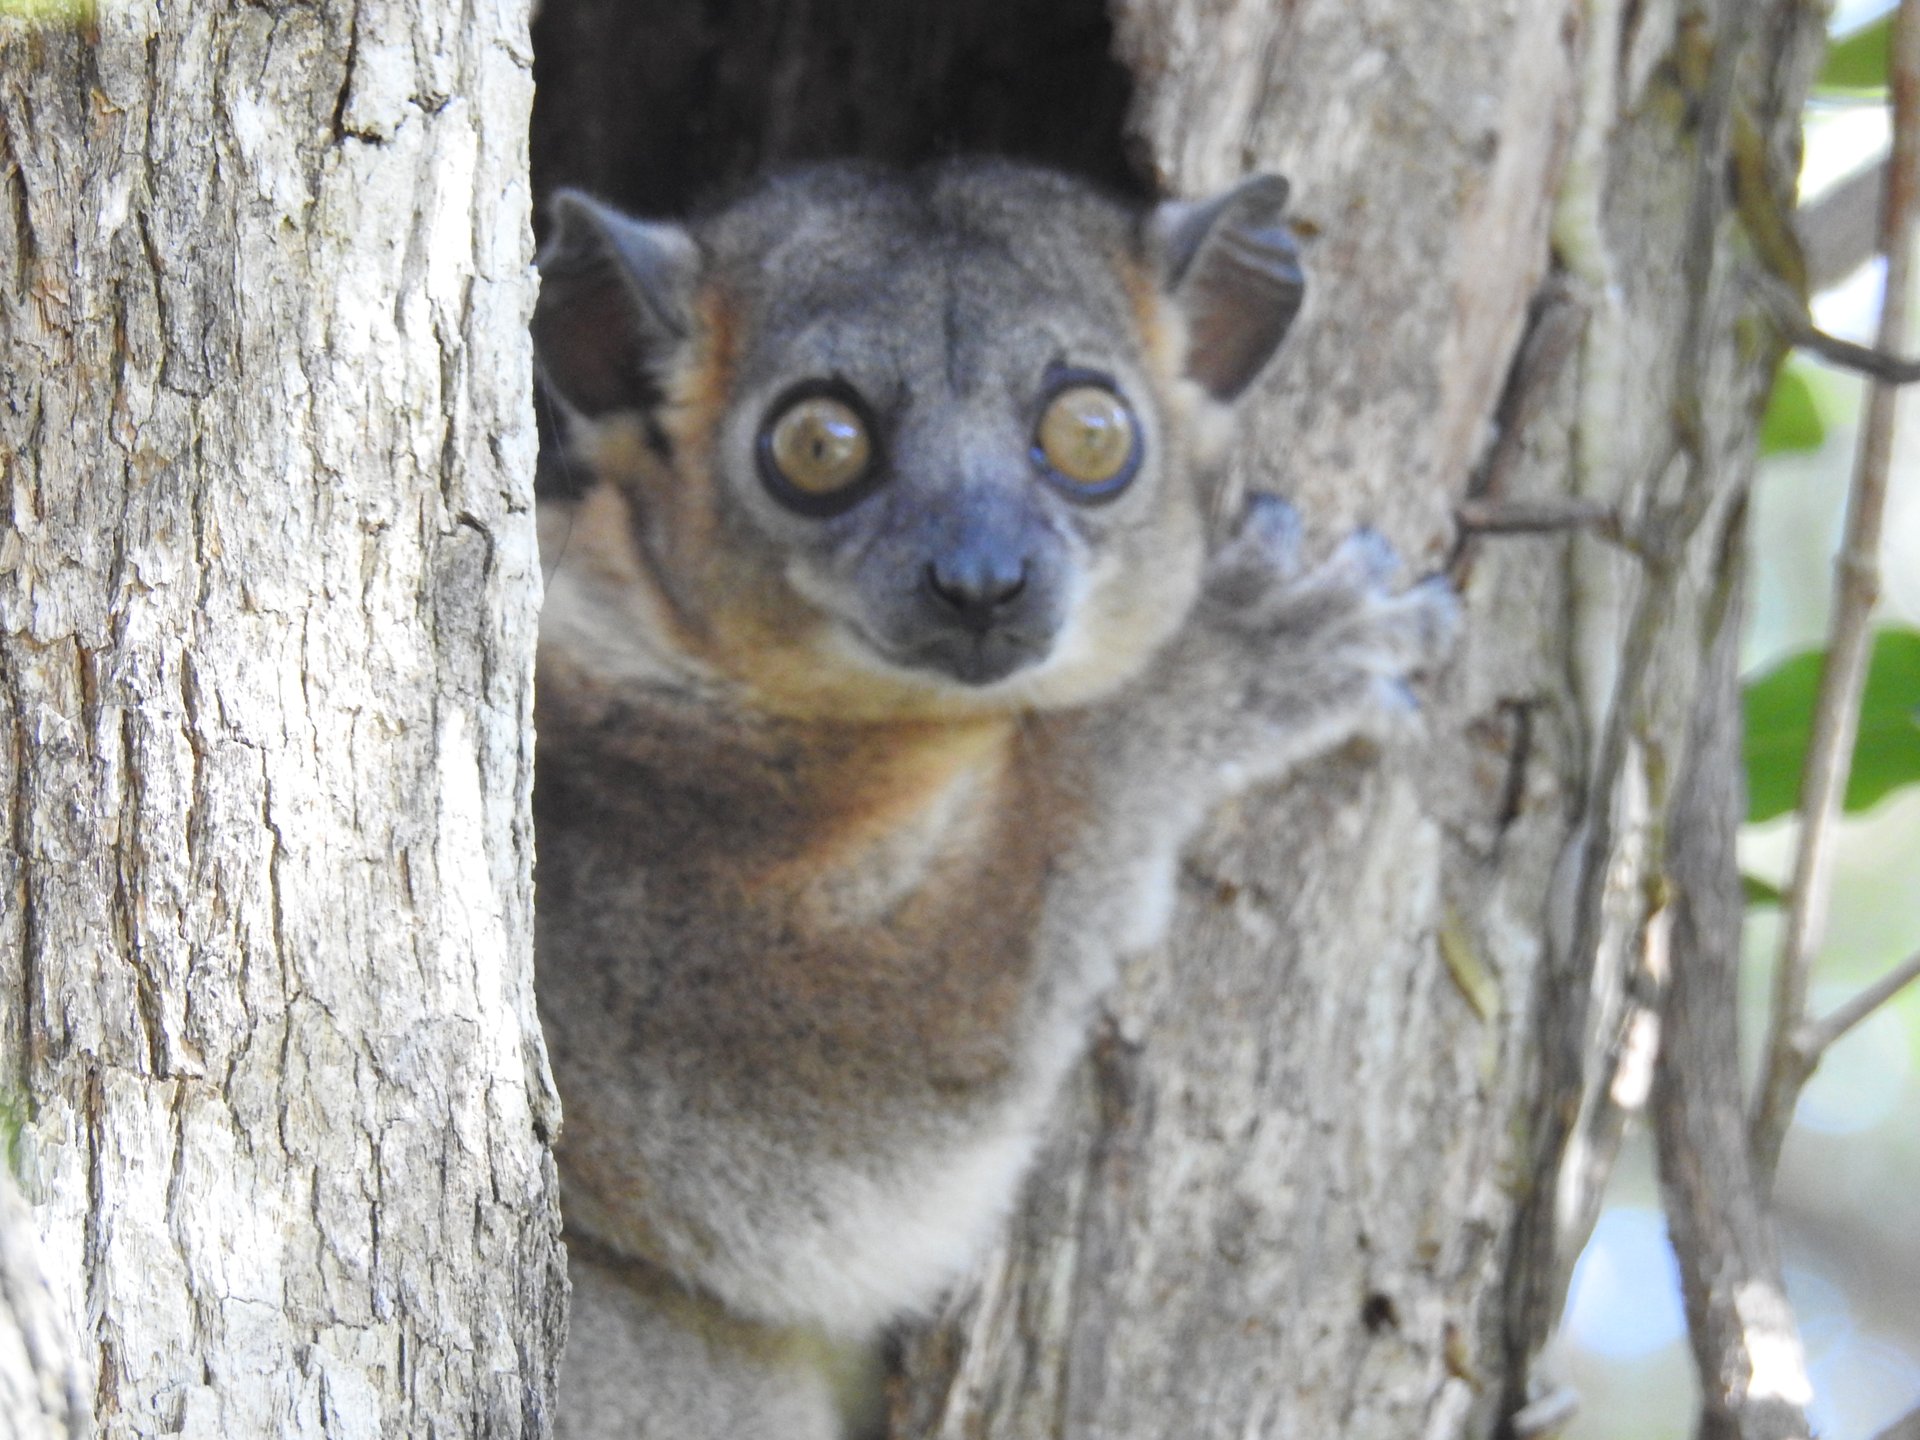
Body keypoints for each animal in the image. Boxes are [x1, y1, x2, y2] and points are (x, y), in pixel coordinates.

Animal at [528, 158, 1459, 1437]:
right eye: (819, 445)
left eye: (1089, 434)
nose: (981, 580)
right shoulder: (653, 853)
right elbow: (874, 1105)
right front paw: (1231, 655)